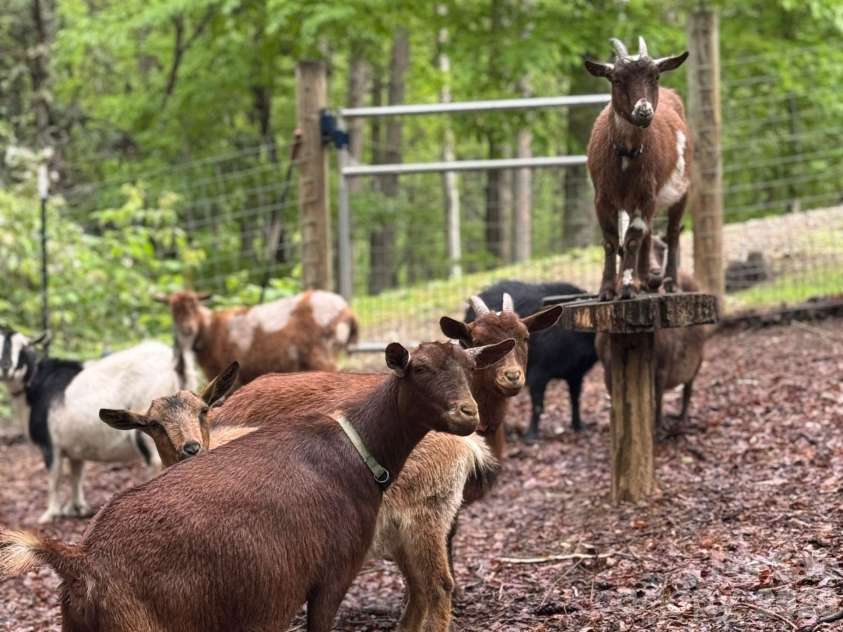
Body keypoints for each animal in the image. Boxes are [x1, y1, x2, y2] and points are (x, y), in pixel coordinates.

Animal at [0, 331, 197, 523]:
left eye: (23, 348)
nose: (5, 367)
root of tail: (176, 364)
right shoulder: (74, 446)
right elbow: (76, 474)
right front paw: (76, 508)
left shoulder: (50, 444)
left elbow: (54, 478)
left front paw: (50, 515)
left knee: (156, 461)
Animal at [155, 288, 358, 384]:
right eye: (172, 311)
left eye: (194, 307)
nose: (187, 329)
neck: (211, 330)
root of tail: (347, 311)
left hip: (322, 356)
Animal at [464, 283, 598, 442]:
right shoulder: (538, 373)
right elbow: (538, 405)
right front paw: (531, 435)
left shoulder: (576, 373)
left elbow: (575, 399)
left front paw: (578, 426)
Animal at [585, 36, 691, 300]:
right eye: (616, 79)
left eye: (656, 76)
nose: (643, 111)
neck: (625, 155)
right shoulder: (602, 198)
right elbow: (611, 241)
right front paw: (606, 290)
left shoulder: (645, 196)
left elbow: (632, 238)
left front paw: (627, 287)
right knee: (650, 233)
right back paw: (647, 280)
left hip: (682, 190)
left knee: (672, 233)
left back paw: (669, 283)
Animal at [596, 235, 707, 428]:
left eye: (662, 248)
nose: (655, 273)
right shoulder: (607, 369)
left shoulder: (663, 366)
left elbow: (657, 399)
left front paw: (658, 427)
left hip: (697, 361)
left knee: (688, 388)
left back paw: (682, 418)